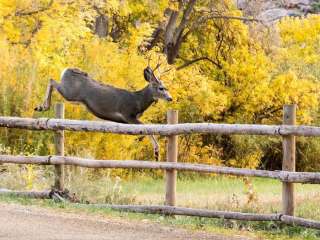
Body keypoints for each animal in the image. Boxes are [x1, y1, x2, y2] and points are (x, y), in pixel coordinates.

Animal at [34, 61, 172, 161]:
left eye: (166, 87)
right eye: (161, 88)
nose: (170, 98)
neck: (138, 101)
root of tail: (67, 70)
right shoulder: (128, 114)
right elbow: (147, 128)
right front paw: (156, 152)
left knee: (52, 80)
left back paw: (42, 107)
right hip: (69, 92)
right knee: (52, 80)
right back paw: (42, 107)